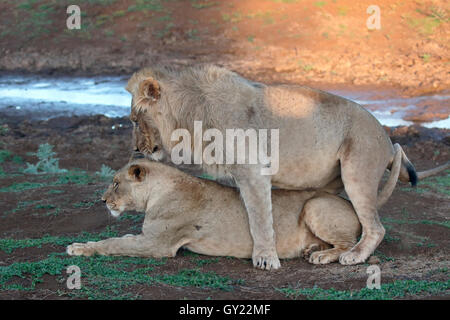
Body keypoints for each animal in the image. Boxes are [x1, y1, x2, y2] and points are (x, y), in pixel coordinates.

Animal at [123, 65, 436, 270]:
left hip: (357, 171)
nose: (136, 148)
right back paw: (319, 251)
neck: (190, 115)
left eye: (135, 119)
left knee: (375, 228)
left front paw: (265, 258)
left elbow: (260, 219)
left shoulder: (253, 171)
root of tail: (386, 136)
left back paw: (353, 256)